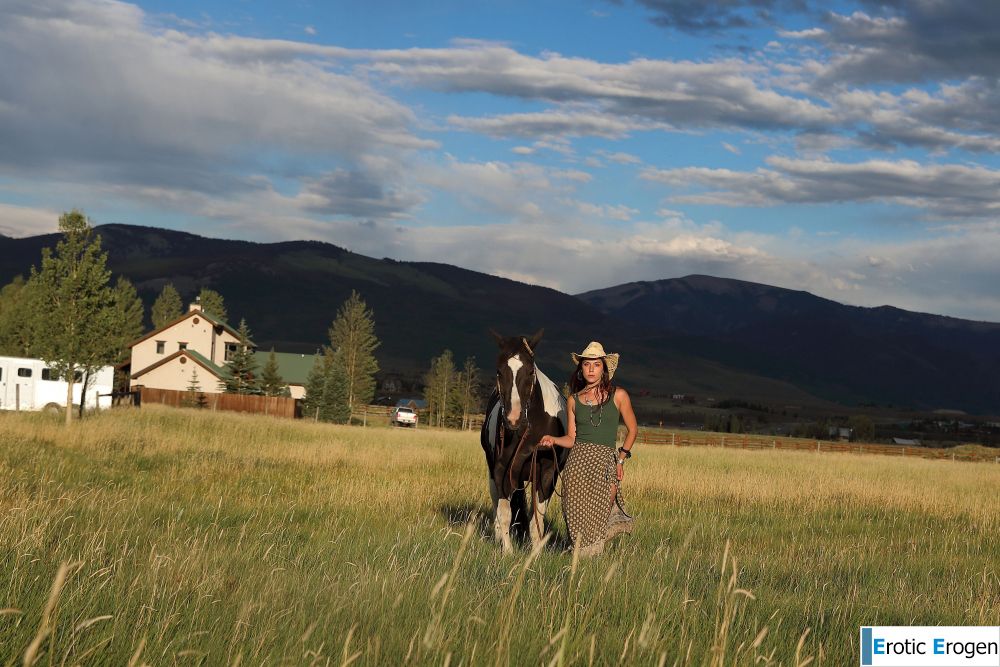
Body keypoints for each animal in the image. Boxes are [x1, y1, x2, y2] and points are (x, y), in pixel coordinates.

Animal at [480, 328, 568, 552]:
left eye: (530, 371)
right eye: (499, 371)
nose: (513, 418)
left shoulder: (547, 474)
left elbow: (537, 517)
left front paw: (535, 553)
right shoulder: (502, 471)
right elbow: (504, 513)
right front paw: (507, 551)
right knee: (497, 505)